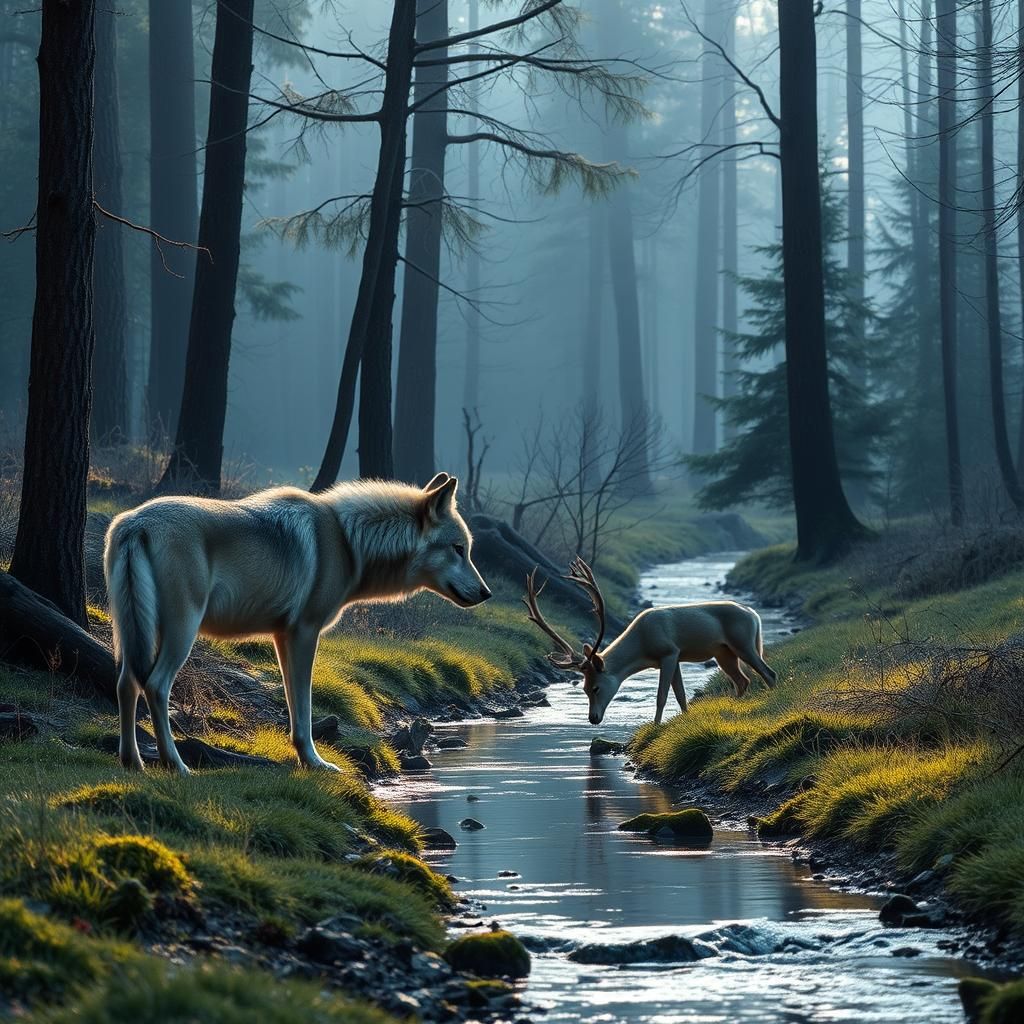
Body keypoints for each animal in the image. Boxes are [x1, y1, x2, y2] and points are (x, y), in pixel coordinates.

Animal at [103, 472, 490, 775]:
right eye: (459, 549)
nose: (486, 593)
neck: (346, 543)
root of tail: (135, 524)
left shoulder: (282, 636)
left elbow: (292, 706)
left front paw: (306, 759)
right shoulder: (305, 632)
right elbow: (303, 709)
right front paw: (316, 763)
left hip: (135, 635)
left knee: (126, 683)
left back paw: (132, 761)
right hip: (181, 632)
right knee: (154, 685)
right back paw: (176, 764)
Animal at [524, 557, 777, 726]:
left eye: (595, 687)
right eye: (584, 688)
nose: (593, 718)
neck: (642, 648)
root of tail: (754, 614)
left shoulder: (669, 652)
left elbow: (662, 696)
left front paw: (656, 726)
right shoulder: (675, 657)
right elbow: (680, 694)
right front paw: (685, 720)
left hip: (744, 642)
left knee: (768, 673)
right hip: (723, 652)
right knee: (742, 680)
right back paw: (734, 705)